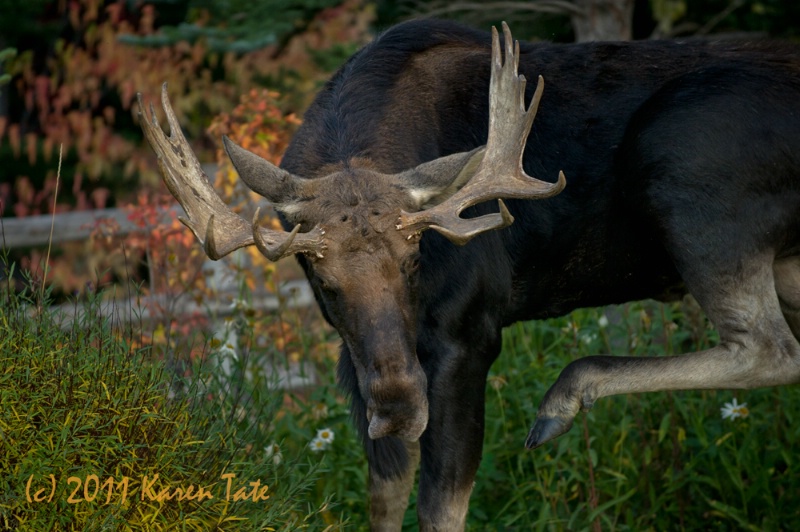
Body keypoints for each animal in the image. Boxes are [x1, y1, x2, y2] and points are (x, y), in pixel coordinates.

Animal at [141, 18, 800, 528]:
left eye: (414, 258)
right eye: (322, 280)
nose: (400, 405)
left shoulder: (469, 335)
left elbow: (440, 509)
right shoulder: (355, 361)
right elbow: (383, 501)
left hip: (690, 177)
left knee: (769, 349)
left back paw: (562, 399)